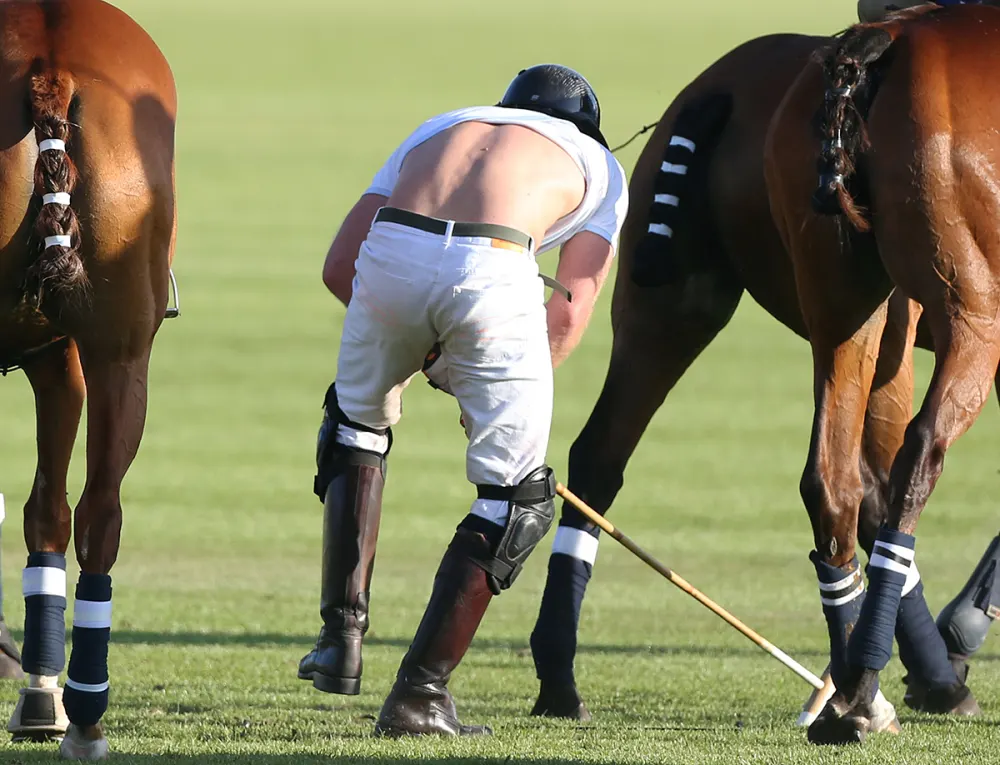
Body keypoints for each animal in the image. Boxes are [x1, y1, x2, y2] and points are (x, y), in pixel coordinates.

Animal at [527, 29, 984, 727]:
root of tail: (719, 87)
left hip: (680, 298)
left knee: (605, 454)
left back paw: (558, 679)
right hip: (943, 308)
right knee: (898, 466)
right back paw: (881, 689)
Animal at [765, 2, 1000, 744]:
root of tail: (885, 40)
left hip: (843, 301)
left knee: (831, 479)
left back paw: (850, 696)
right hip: (974, 306)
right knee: (920, 452)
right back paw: (870, 675)